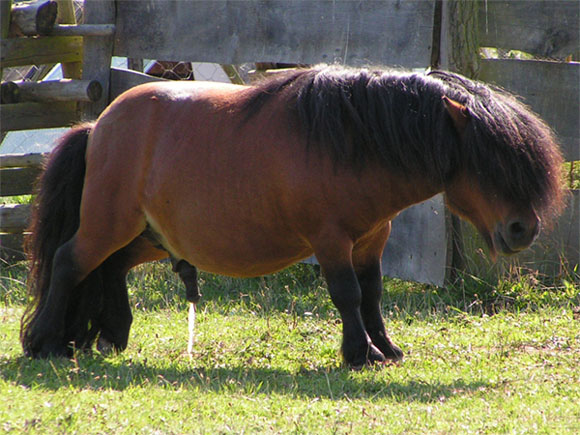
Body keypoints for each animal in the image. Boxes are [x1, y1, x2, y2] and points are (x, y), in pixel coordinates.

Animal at [20, 66, 564, 370]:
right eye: (488, 163)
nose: (523, 229)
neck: (352, 141)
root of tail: (98, 124)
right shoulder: (331, 241)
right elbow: (347, 295)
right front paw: (360, 353)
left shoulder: (371, 240)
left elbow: (373, 295)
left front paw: (385, 349)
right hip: (108, 223)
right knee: (70, 262)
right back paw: (44, 341)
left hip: (147, 235)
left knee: (108, 267)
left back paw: (110, 334)